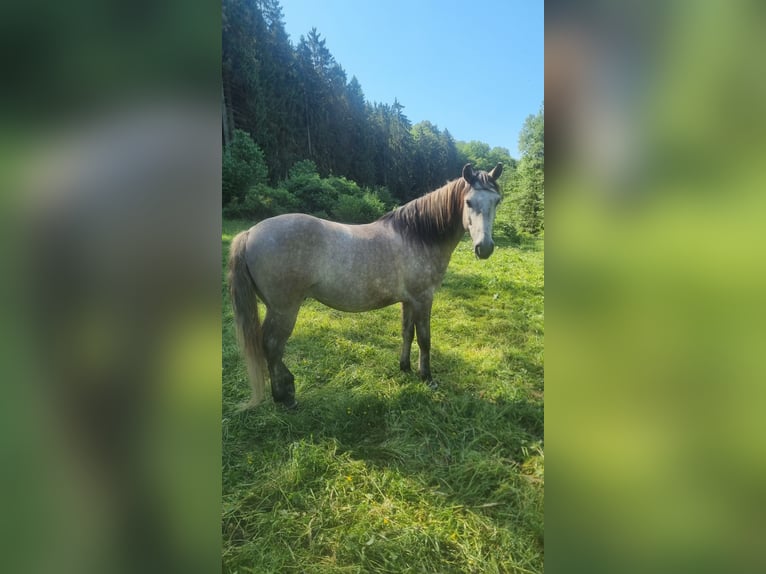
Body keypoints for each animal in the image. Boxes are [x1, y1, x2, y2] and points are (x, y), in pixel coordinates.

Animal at [228, 162, 503, 409]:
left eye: (497, 201)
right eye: (468, 202)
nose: (485, 248)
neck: (418, 236)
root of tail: (250, 233)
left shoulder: (408, 301)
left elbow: (407, 333)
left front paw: (404, 367)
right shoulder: (423, 299)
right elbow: (425, 339)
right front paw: (427, 377)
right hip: (284, 310)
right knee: (272, 345)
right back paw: (284, 396)